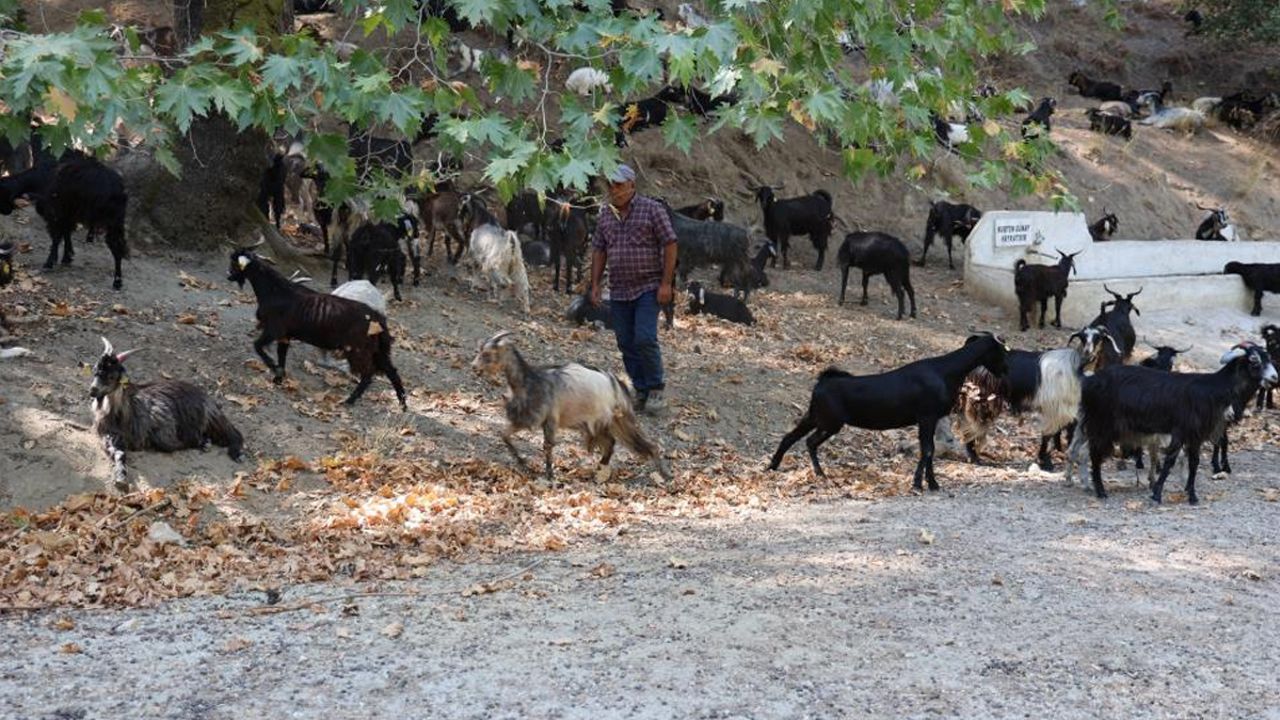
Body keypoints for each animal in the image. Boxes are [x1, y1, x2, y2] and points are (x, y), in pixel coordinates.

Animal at [88, 335, 243, 486]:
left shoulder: (163, 425)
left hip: (210, 416)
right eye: (95, 372)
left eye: (111, 376)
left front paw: (201, 442)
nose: (92, 390)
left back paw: (235, 453)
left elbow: (171, 444)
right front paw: (120, 477)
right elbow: (119, 453)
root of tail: (203, 394)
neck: (122, 414)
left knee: (234, 433)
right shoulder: (109, 435)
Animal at [768, 333, 1008, 489]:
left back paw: (773, 466)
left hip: (815, 416)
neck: (945, 371)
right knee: (810, 441)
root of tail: (822, 382)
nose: (1006, 371)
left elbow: (928, 450)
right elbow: (927, 450)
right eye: (1001, 353)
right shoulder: (926, 417)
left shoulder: (929, 419)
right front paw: (922, 484)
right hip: (830, 422)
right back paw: (819, 473)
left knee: (791, 437)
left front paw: (927, 483)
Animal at [1075, 340, 1274, 499]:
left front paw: (1191, 494)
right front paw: (1157, 494)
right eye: (1254, 360)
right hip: (1103, 423)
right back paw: (1100, 491)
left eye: (1269, 359)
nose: (1274, 377)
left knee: (1085, 452)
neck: (1213, 388)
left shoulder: (1196, 435)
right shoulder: (1181, 430)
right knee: (1094, 455)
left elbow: (1194, 462)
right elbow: (1170, 461)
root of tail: (1090, 381)